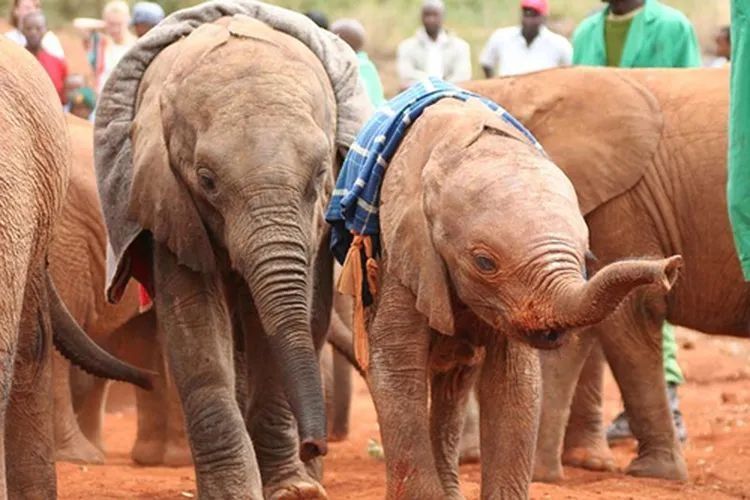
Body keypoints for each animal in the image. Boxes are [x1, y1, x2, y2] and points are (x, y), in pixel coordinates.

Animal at [94, 13, 369, 499]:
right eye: (206, 181)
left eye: (321, 174)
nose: (316, 444)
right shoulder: (167, 197)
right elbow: (195, 323)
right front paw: (234, 493)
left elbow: (287, 322)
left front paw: (293, 491)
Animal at [358, 96, 680, 499]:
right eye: (484, 262)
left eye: (586, 253)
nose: (670, 268)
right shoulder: (404, 253)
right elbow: (397, 369)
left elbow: (513, 384)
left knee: (454, 383)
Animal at [464, 66, 736, 482]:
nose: (671, 267)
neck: (527, 83)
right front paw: (571, 469)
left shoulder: (622, 204)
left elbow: (628, 317)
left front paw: (652, 473)